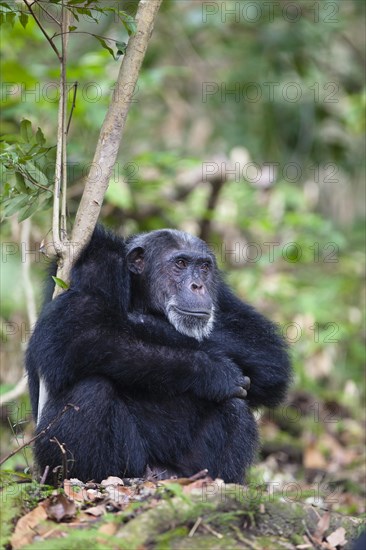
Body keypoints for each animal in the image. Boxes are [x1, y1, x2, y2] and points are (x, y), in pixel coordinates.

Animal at [25, 226, 290, 486]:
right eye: (180, 263)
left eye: (204, 267)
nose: (198, 285)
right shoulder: (96, 263)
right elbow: (76, 327)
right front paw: (213, 371)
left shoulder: (222, 293)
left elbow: (267, 352)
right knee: (91, 390)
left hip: (183, 470)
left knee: (234, 404)